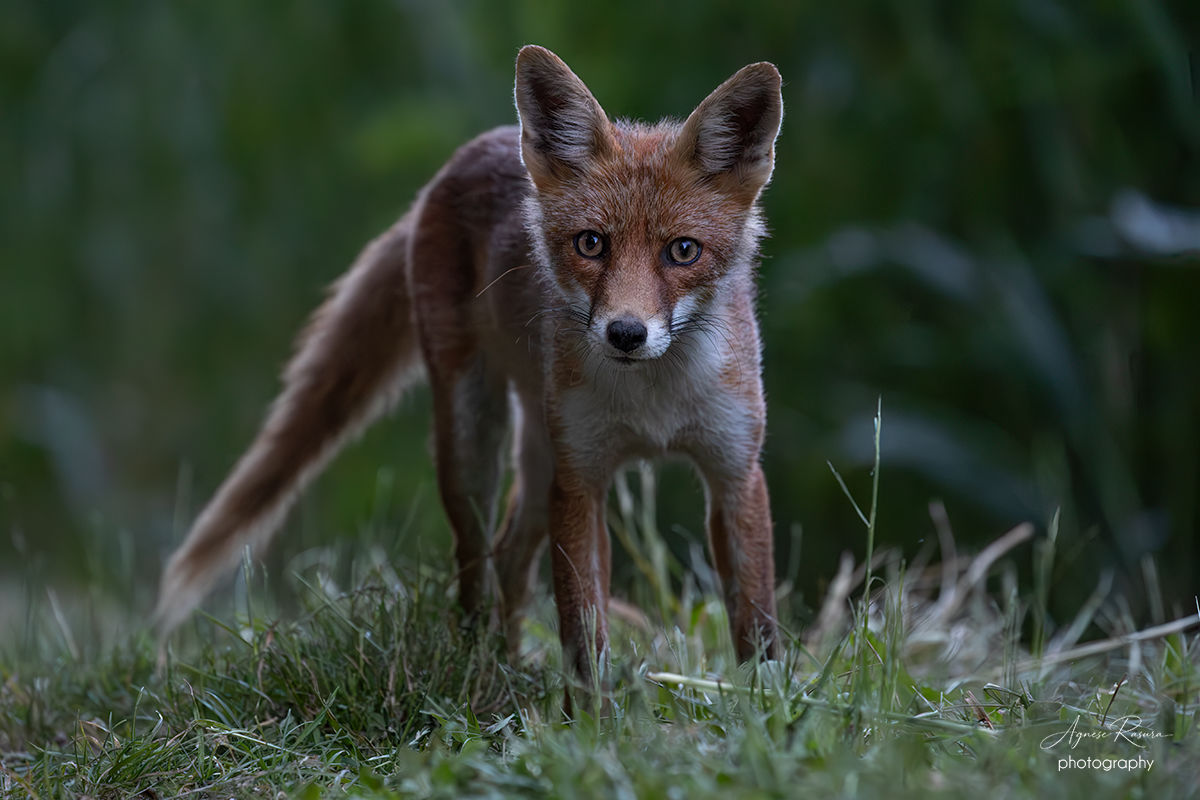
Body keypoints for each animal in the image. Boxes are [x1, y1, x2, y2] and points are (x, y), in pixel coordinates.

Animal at [157, 45, 783, 679]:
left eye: (683, 251)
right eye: (591, 244)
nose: (626, 334)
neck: (655, 401)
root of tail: (462, 158)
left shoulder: (735, 471)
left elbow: (756, 624)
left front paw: (761, 698)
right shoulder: (581, 481)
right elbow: (585, 638)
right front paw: (588, 706)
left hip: (538, 459)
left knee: (509, 558)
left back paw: (510, 663)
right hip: (474, 444)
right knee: (478, 563)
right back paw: (480, 667)